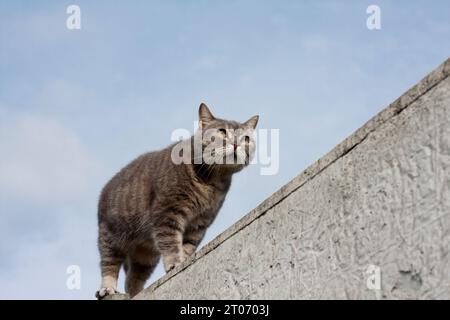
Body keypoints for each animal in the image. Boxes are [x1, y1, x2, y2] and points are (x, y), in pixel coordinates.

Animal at [96, 104, 258, 298]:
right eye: (222, 131)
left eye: (246, 138)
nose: (236, 143)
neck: (212, 181)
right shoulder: (167, 213)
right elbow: (171, 243)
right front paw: (175, 263)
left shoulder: (199, 223)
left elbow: (186, 247)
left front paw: (184, 261)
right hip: (111, 235)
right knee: (109, 264)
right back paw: (107, 288)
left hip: (145, 256)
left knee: (132, 279)